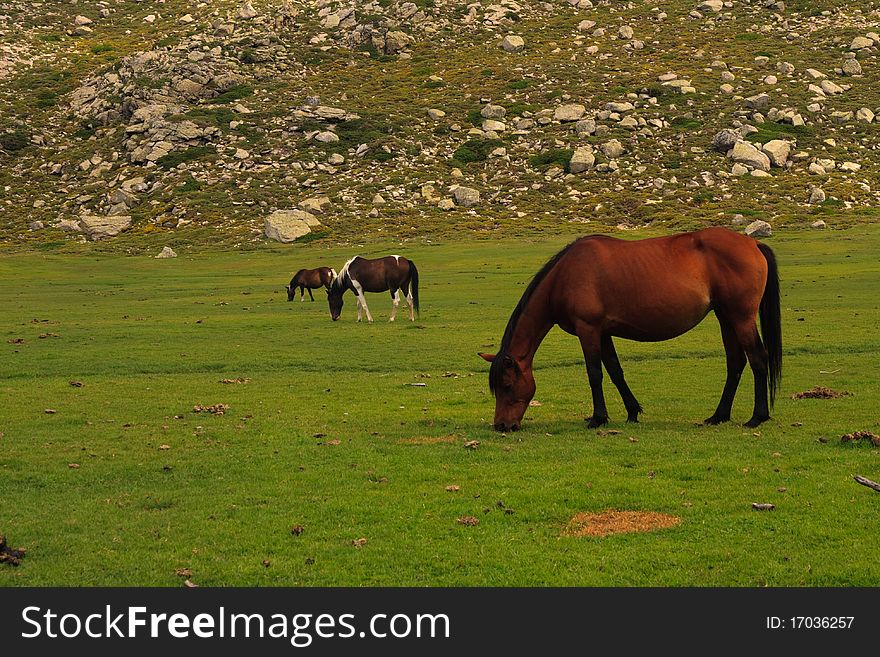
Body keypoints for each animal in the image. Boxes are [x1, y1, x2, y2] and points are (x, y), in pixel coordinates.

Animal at [482, 228, 784, 434]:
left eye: (507, 385)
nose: (502, 425)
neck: (565, 276)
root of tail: (752, 243)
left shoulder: (588, 330)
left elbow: (594, 374)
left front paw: (598, 418)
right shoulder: (603, 333)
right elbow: (615, 371)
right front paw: (632, 412)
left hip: (741, 318)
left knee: (758, 359)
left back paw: (757, 417)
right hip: (726, 318)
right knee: (735, 363)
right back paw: (718, 415)